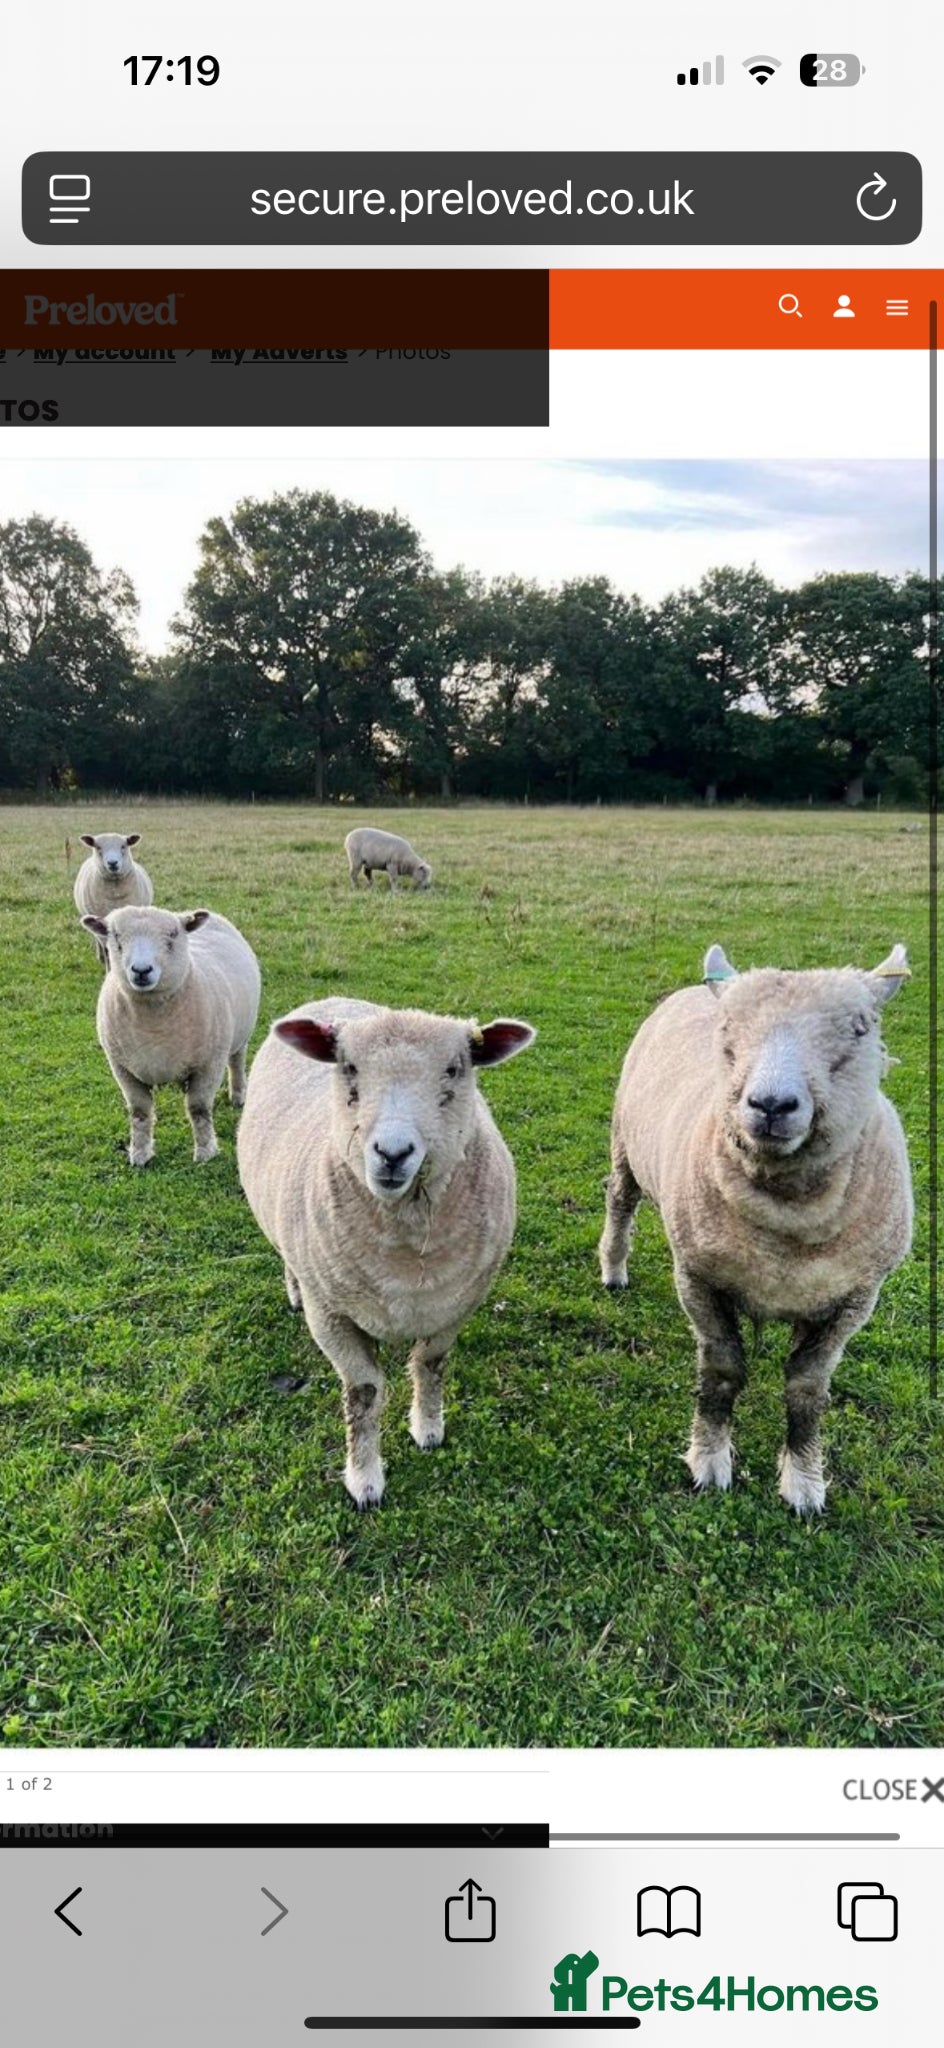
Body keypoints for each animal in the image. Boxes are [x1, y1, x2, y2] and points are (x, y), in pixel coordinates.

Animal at [80, 905, 261, 1167]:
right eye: (116, 937)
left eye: (173, 935)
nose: (141, 970)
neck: (154, 1025)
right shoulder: (122, 1068)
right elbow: (139, 1111)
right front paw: (140, 1155)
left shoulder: (209, 1064)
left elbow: (198, 1108)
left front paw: (205, 1152)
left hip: (239, 1034)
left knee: (236, 1062)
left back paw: (238, 1096)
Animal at [237, 997, 535, 1506]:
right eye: (349, 1068)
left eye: (454, 1070)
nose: (392, 1153)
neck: (406, 1247)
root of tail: (333, 999)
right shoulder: (329, 1315)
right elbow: (364, 1392)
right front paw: (365, 1480)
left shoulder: (456, 1305)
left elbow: (430, 1365)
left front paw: (429, 1430)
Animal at [598, 943, 913, 1515]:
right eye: (728, 1030)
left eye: (860, 1028)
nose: (770, 1104)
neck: (787, 1230)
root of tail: (699, 986)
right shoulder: (699, 1278)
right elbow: (723, 1371)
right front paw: (709, 1461)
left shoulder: (855, 1300)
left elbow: (807, 1390)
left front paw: (804, 1481)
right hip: (624, 1142)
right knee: (620, 1199)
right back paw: (613, 1266)